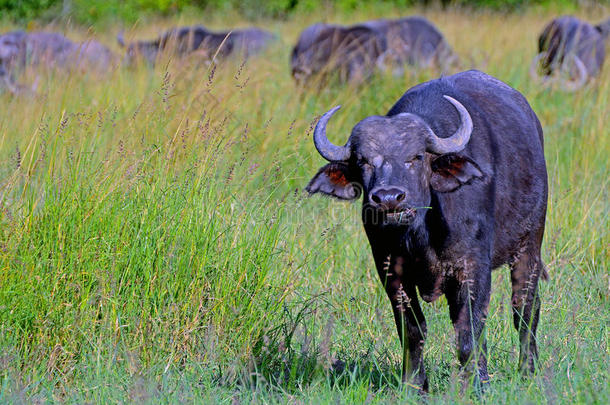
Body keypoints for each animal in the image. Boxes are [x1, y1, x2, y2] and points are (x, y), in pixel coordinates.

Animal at [306, 70, 548, 392]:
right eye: (362, 161)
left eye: (417, 157)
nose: (388, 198)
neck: (420, 236)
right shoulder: (391, 273)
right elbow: (412, 329)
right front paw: (414, 384)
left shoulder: (472, 266)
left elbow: (469, 327)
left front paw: (476, 383)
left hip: (530, 244)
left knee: (524, 308)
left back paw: (528, 370)